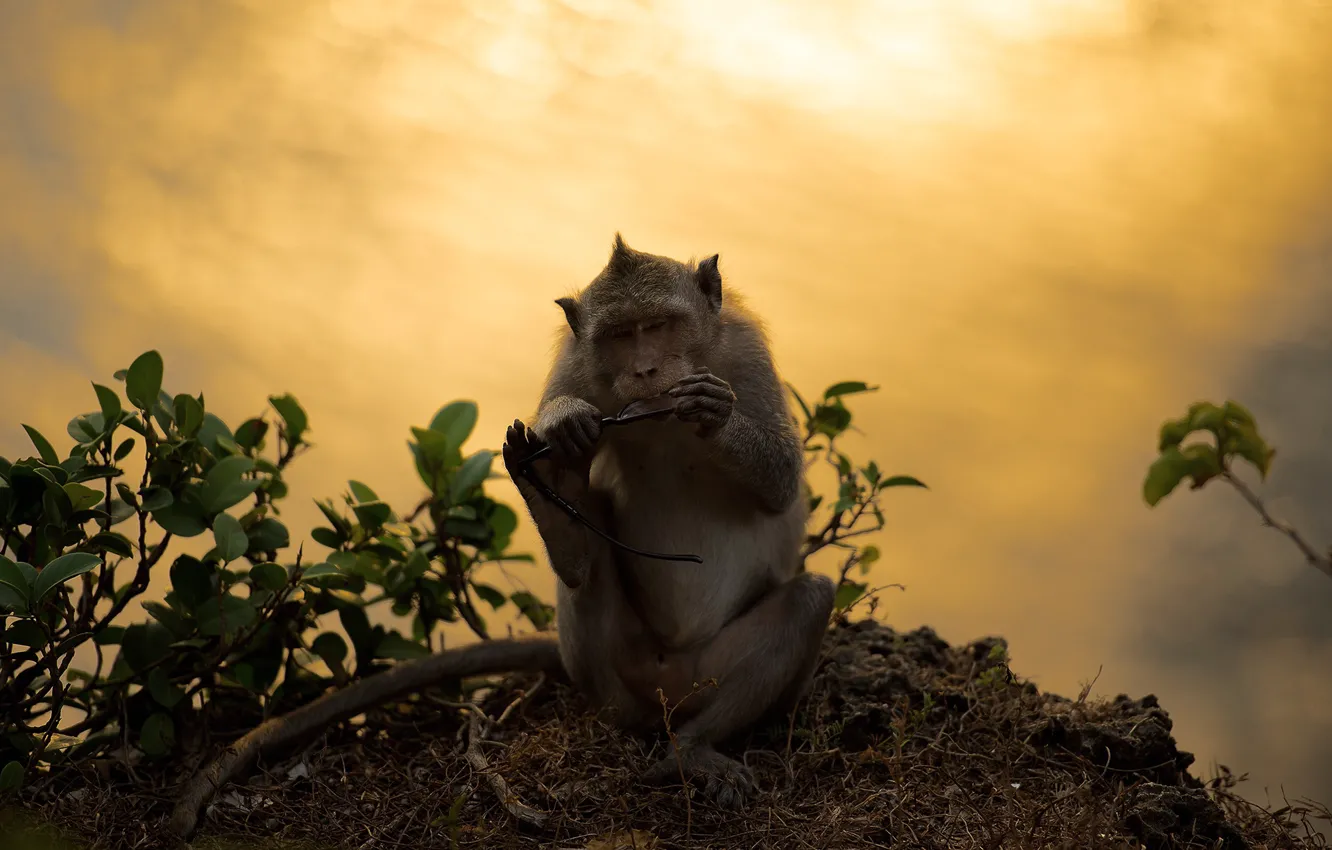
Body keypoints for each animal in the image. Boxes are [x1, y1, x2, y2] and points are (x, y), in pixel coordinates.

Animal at [500, 234, 836, 809]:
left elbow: (784, 482)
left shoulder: (746, 352)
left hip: (708, 675)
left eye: (658, 326)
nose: (644, 371)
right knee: (585, 563)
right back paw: (560, 512)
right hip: (617, 669)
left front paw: (715, 416)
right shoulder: (575, 364)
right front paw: (563, 420)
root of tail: (667, 683)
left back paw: (693, 749)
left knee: (808, 602)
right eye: (620, 335)